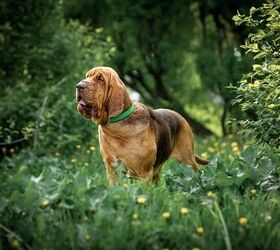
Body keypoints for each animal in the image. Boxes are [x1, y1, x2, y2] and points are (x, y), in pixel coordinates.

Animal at [75, 66, 209, 184]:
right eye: (87, 76)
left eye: (100, 79)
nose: (78, 86)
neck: (116, 127)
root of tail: (179, 115)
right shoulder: (112, 170)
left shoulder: (144, 173)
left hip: (189, 161)